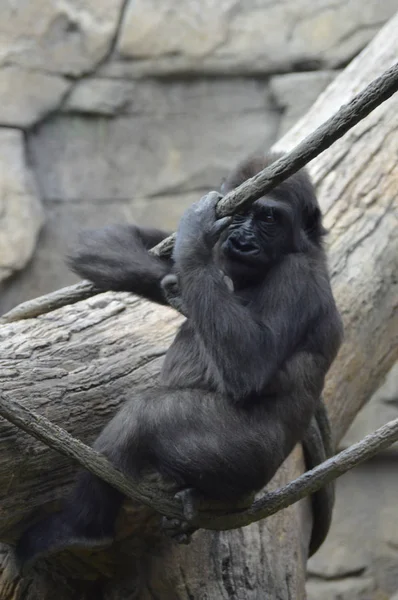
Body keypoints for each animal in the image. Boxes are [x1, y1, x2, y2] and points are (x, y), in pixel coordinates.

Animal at [15, 152, 344, 568]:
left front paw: (195, 239)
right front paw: (183, 274)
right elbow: (104, 243)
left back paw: (82, 530)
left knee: (145, 416)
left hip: (248, 461)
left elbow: (249, 366)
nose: (242, 240)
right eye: (241, 213)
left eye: (268, 218)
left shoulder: (297, 276)